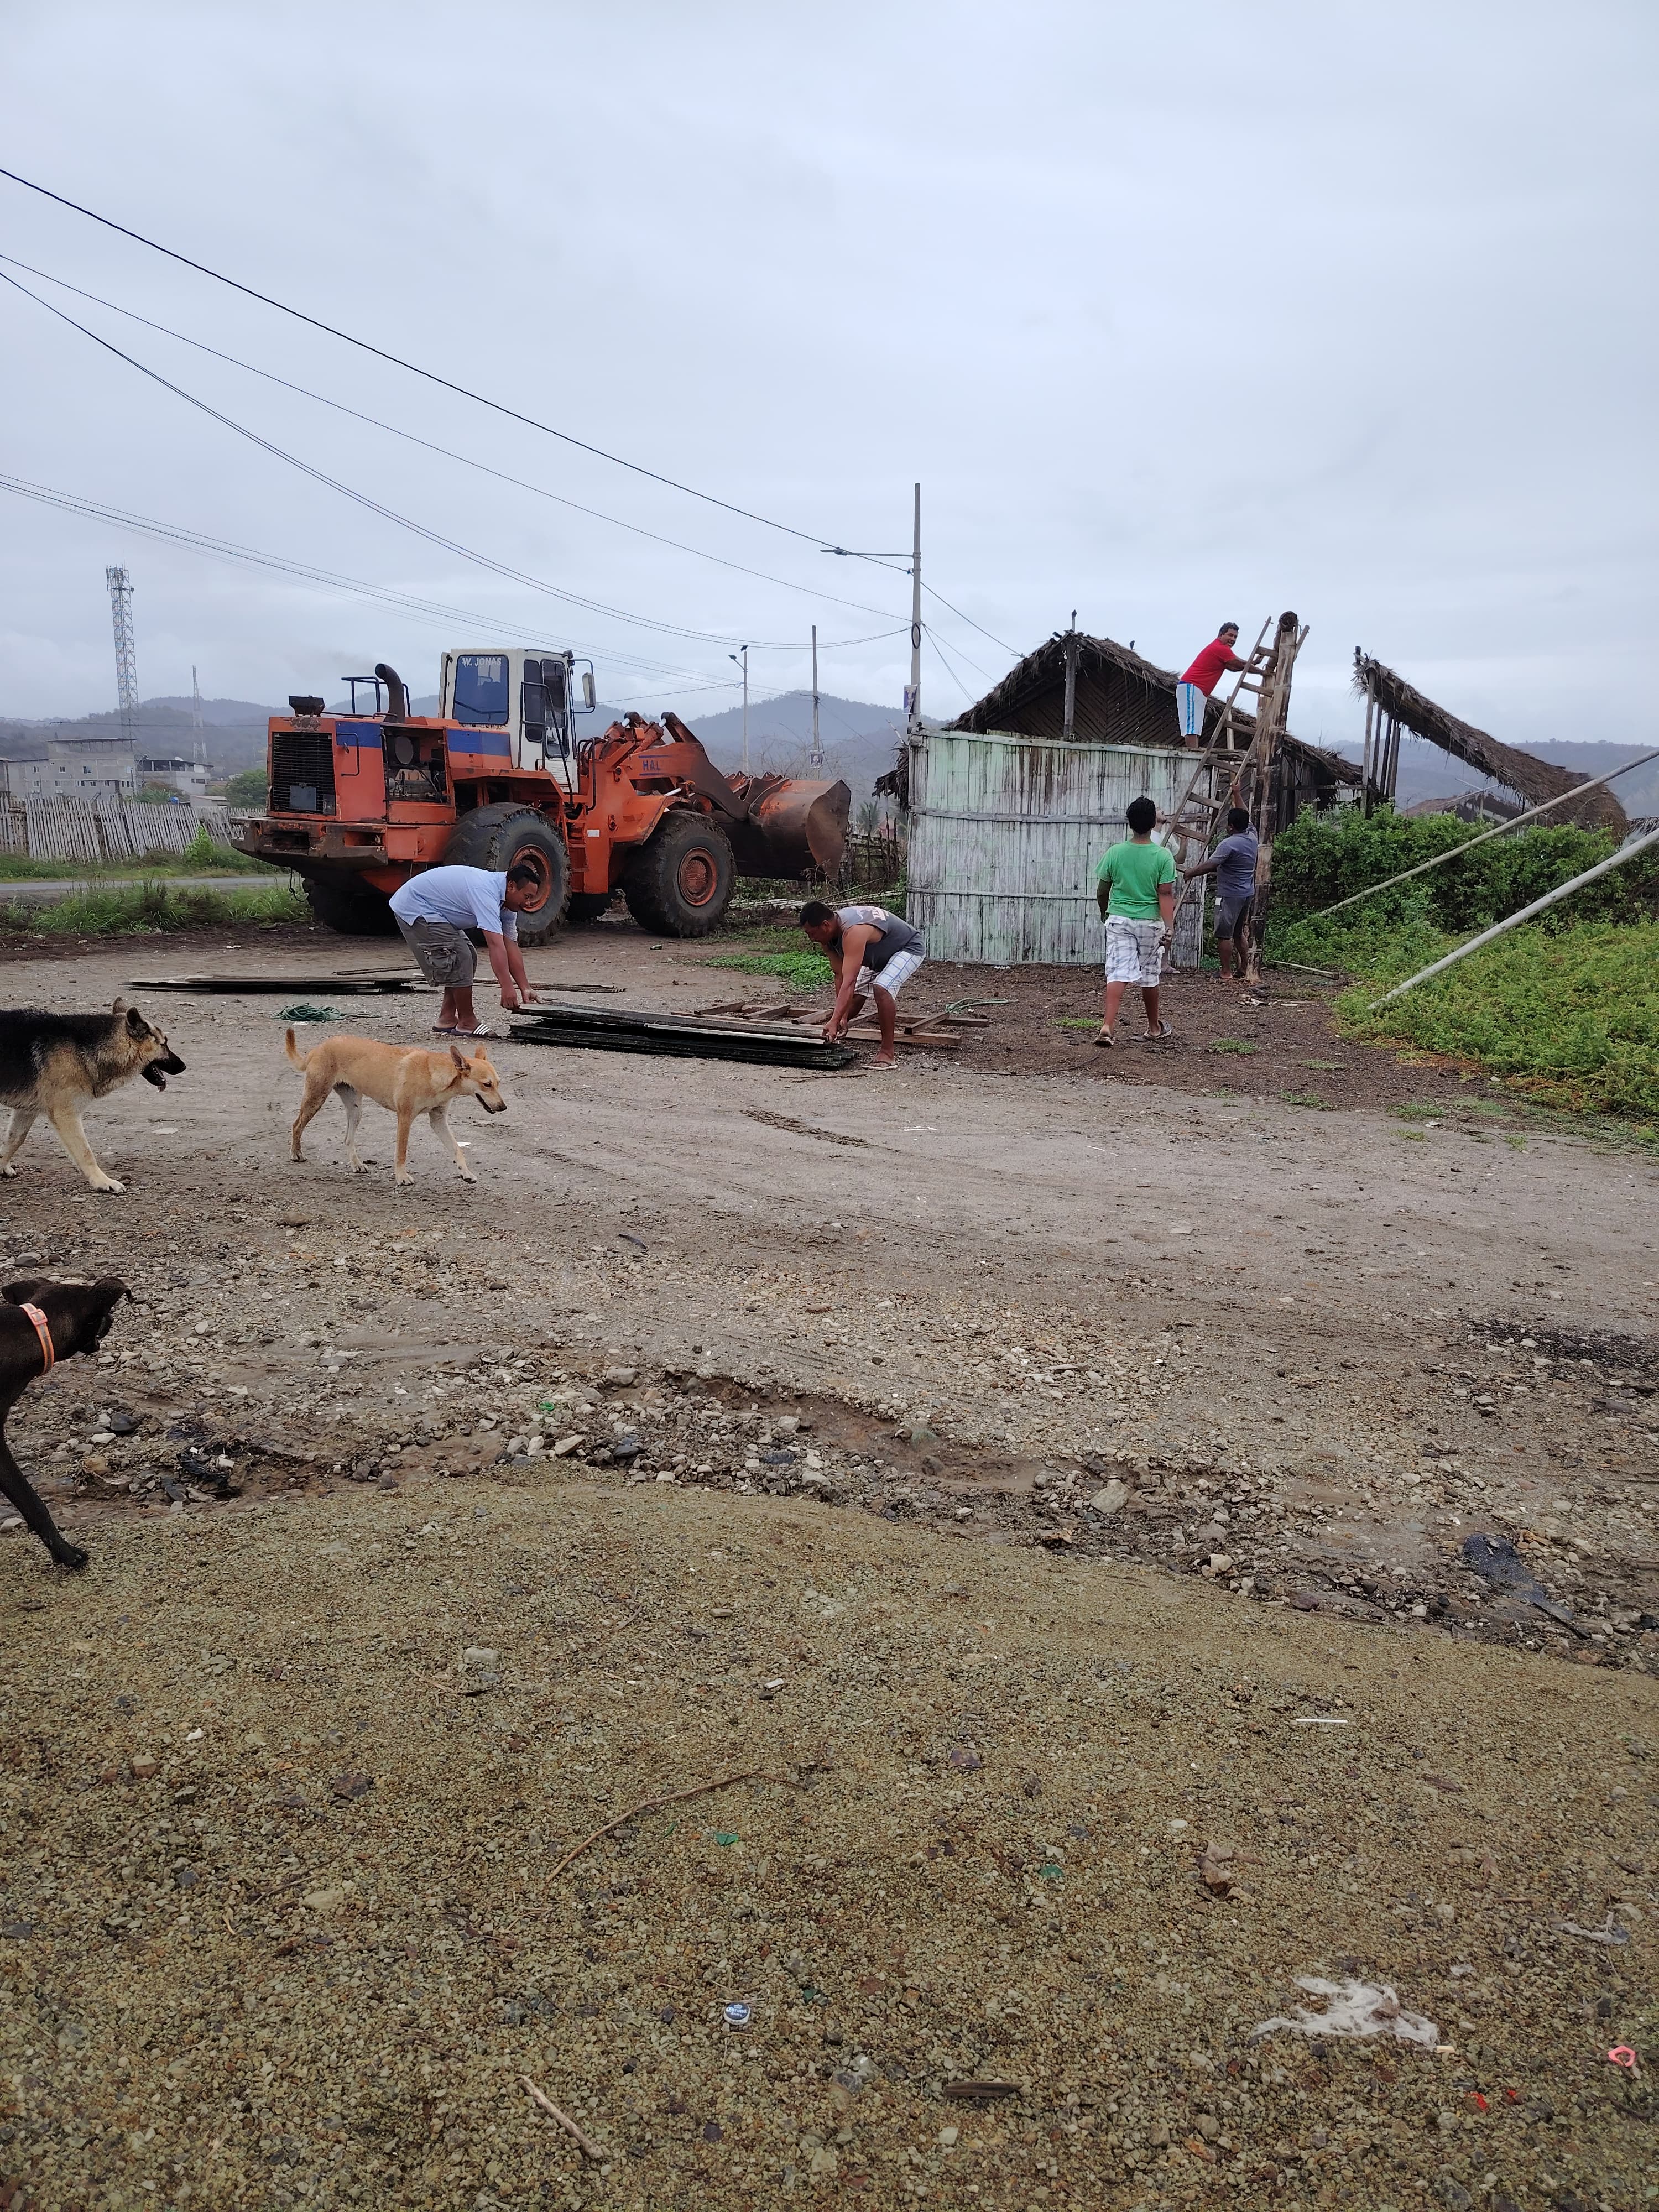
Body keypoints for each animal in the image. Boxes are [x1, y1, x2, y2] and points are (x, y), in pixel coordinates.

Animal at [0, 1000, 185, 1195]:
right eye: (164, 1044)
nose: (184, 1066)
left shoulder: (27, 1111)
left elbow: (15, 1140)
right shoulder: (66, 1115)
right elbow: (85, 1153)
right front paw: (103, 1181)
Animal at [286, 1029, 505, 1185]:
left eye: (498, 1083)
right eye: (487, 1084)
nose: (503, 1107)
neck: (433, 1075)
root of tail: (320, 1047)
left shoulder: (438, 1121)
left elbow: (457, 1149)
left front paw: (466, 1173)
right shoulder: (405, 1118)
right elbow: (402, 1152)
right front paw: (401, 1177)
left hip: (355, 1110)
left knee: (348, 1139)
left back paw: (357, 1165)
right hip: (316, 1098)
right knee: (297, 1125)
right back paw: (296, 1154)